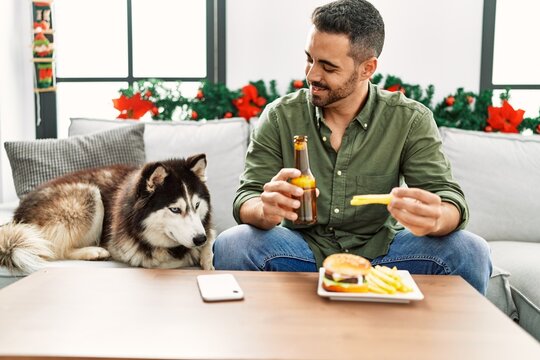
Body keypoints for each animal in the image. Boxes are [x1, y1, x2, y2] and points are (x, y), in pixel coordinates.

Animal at [0, 153, 214, 274]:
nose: (199, 239)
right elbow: (170, 261)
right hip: (89, 195)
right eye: (175, 209)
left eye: (196, 205)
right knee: (54, 249)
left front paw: (207, 259)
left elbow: (211, 235)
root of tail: (18, 212)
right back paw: (94, 252)